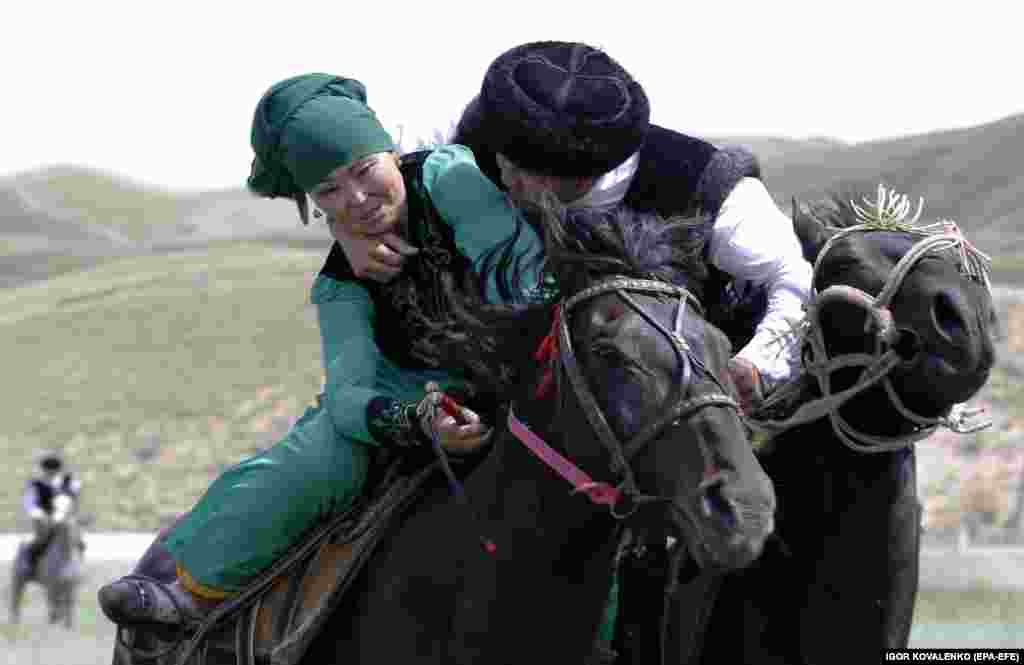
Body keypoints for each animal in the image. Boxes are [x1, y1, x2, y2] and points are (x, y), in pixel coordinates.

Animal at [9, 491, 82, 627]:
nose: (81, 543)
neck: (65, 558)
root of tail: (22, 545)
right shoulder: (52, 588)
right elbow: (55, 610)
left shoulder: (69, 589)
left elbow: (68, 610)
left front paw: (68, 626)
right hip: (19, 581)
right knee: (16, 601)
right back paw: (15, 623)